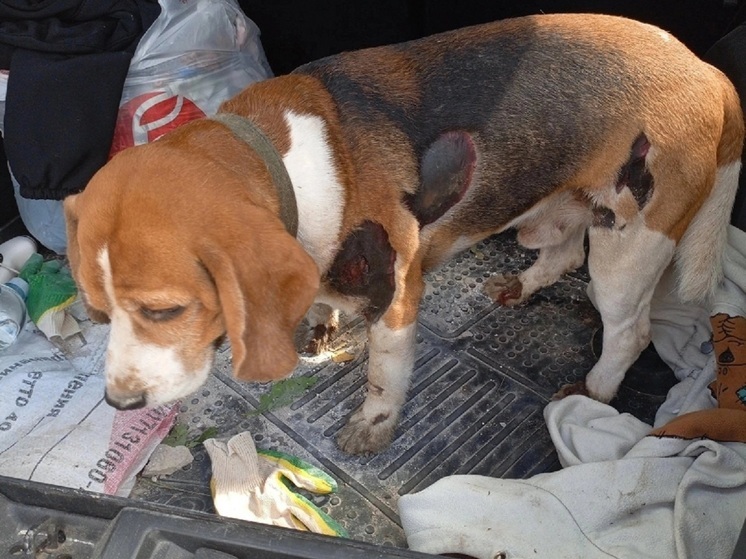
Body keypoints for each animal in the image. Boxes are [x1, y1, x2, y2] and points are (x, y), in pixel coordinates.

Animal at [67, 14, 740, 456]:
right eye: (97, 313)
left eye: (166, 310)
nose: (119, 406)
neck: (287, 161)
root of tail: (707, 70)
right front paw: (320, 323)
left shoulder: (395, 298)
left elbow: (383, 375)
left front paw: (374, 424)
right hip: (572, 206)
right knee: (565, 251)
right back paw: (522, 287)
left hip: (631, 247)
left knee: (629, 332)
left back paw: (592, 391)